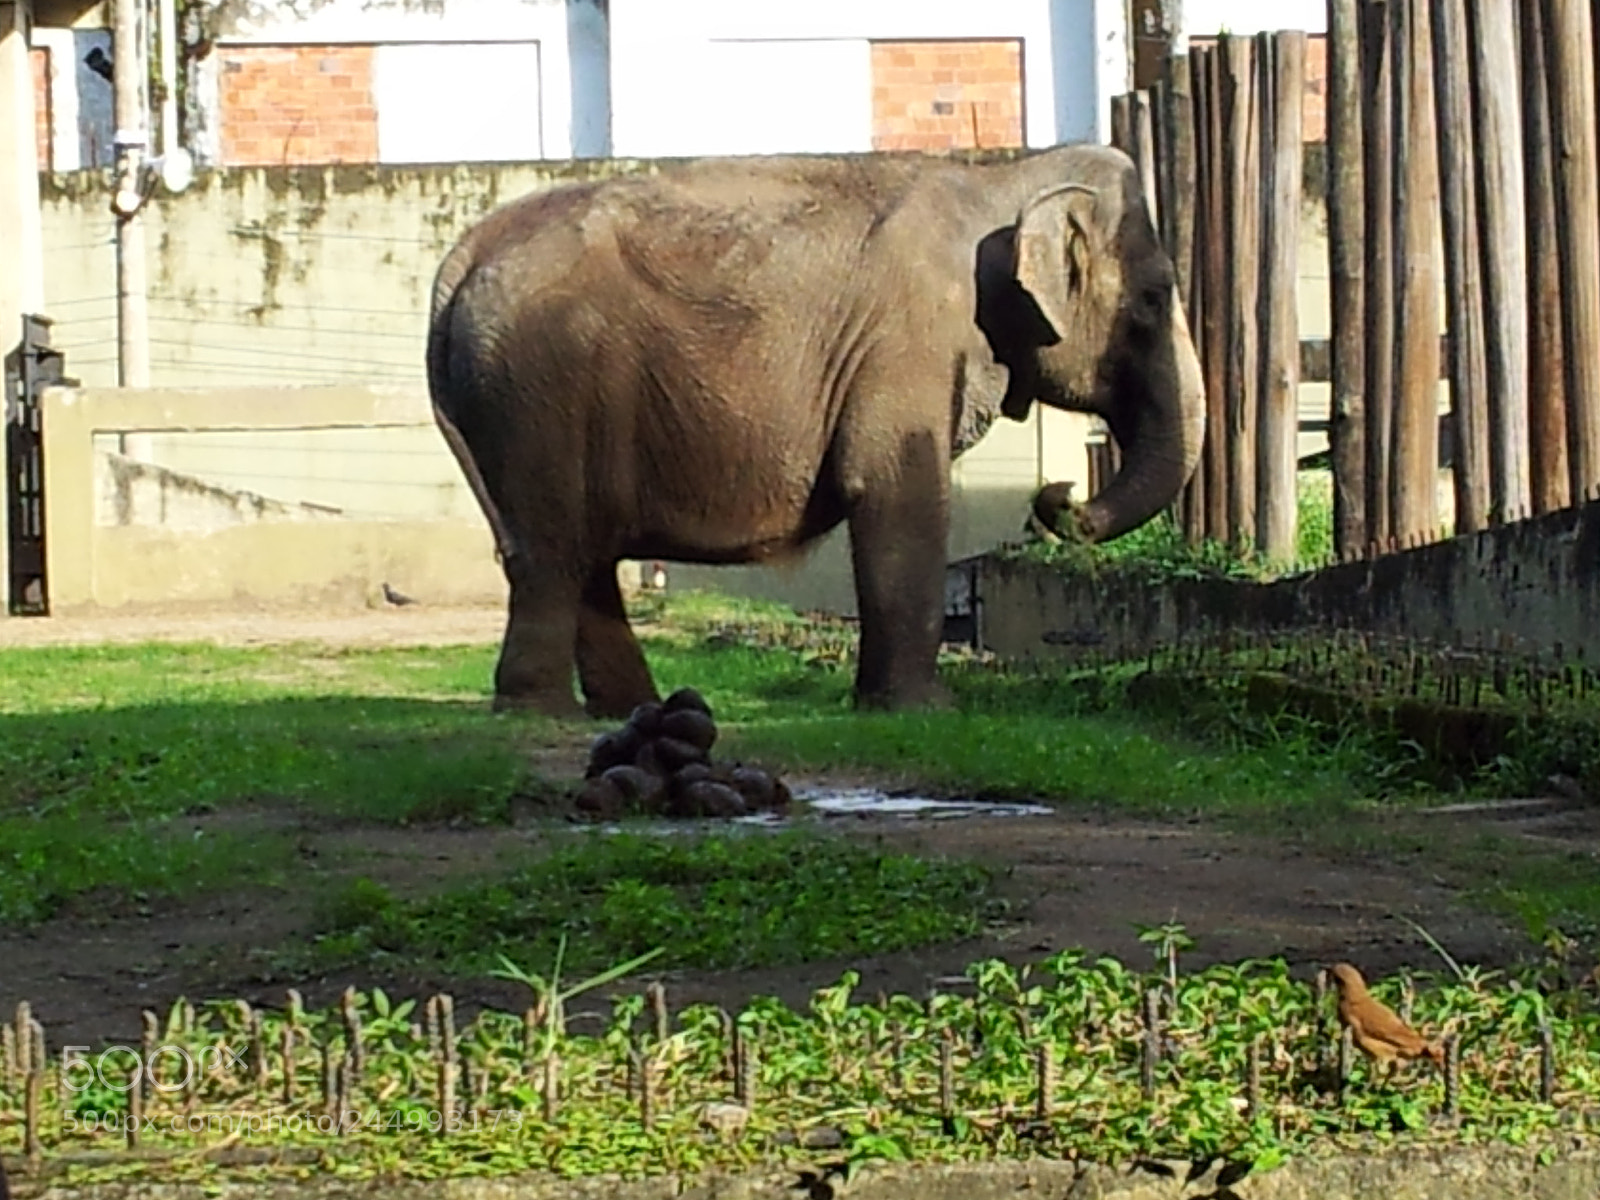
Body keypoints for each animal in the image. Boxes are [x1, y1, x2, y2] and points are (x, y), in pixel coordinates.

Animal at [426, 143, 1206, 719]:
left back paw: (636, 711)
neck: (1004, 180)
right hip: (539, 385)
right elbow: (897, 489)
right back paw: (543, 715)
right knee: (557, 543)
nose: (1058, 494)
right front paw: (925, 713)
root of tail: (464, 256)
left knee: (570, 547)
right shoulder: (910, 339)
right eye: (1155, 296)